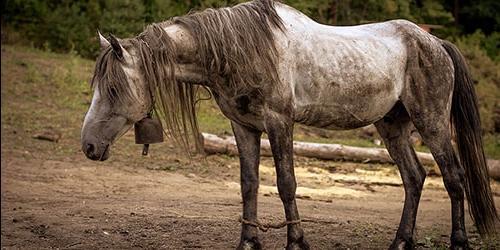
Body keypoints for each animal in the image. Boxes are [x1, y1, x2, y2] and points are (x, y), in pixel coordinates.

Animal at [81, 0, 496, 249]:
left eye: (114, 87)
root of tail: (434, 42)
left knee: (453, 177)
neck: (246, 50)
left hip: (432, 122)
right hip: (392, 126)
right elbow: (249, 184)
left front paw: (297, 241)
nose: (88, 146)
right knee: (414, 178)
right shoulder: (244, 127)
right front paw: (248, 241)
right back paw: (400, 242)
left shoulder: (279, 124)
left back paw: (459, 241)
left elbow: (286, 184)